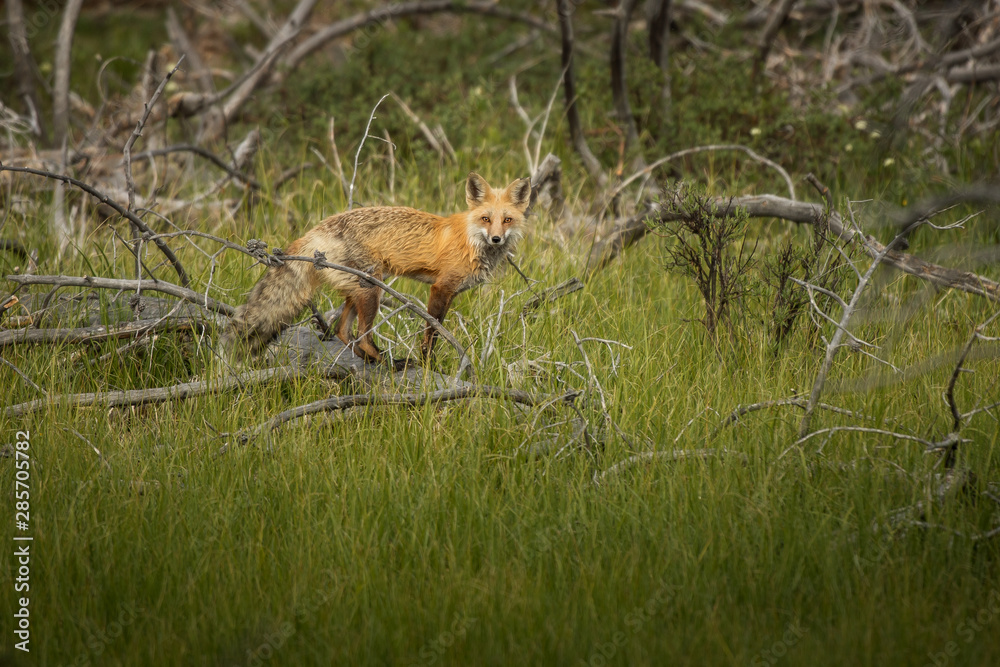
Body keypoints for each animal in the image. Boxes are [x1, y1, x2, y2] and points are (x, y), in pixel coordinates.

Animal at [223, 172, 532, 368]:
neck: (471, 238)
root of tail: (315, 230)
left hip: (358, 290)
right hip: (372, 289)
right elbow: (431, 335)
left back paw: (368, 361)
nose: (496, 239)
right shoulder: (441, 288)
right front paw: (427, 364)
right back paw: (389, 362)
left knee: (343, 331)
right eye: (486, 219)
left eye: (507, 220)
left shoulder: (450, 292)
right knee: (361, 336)